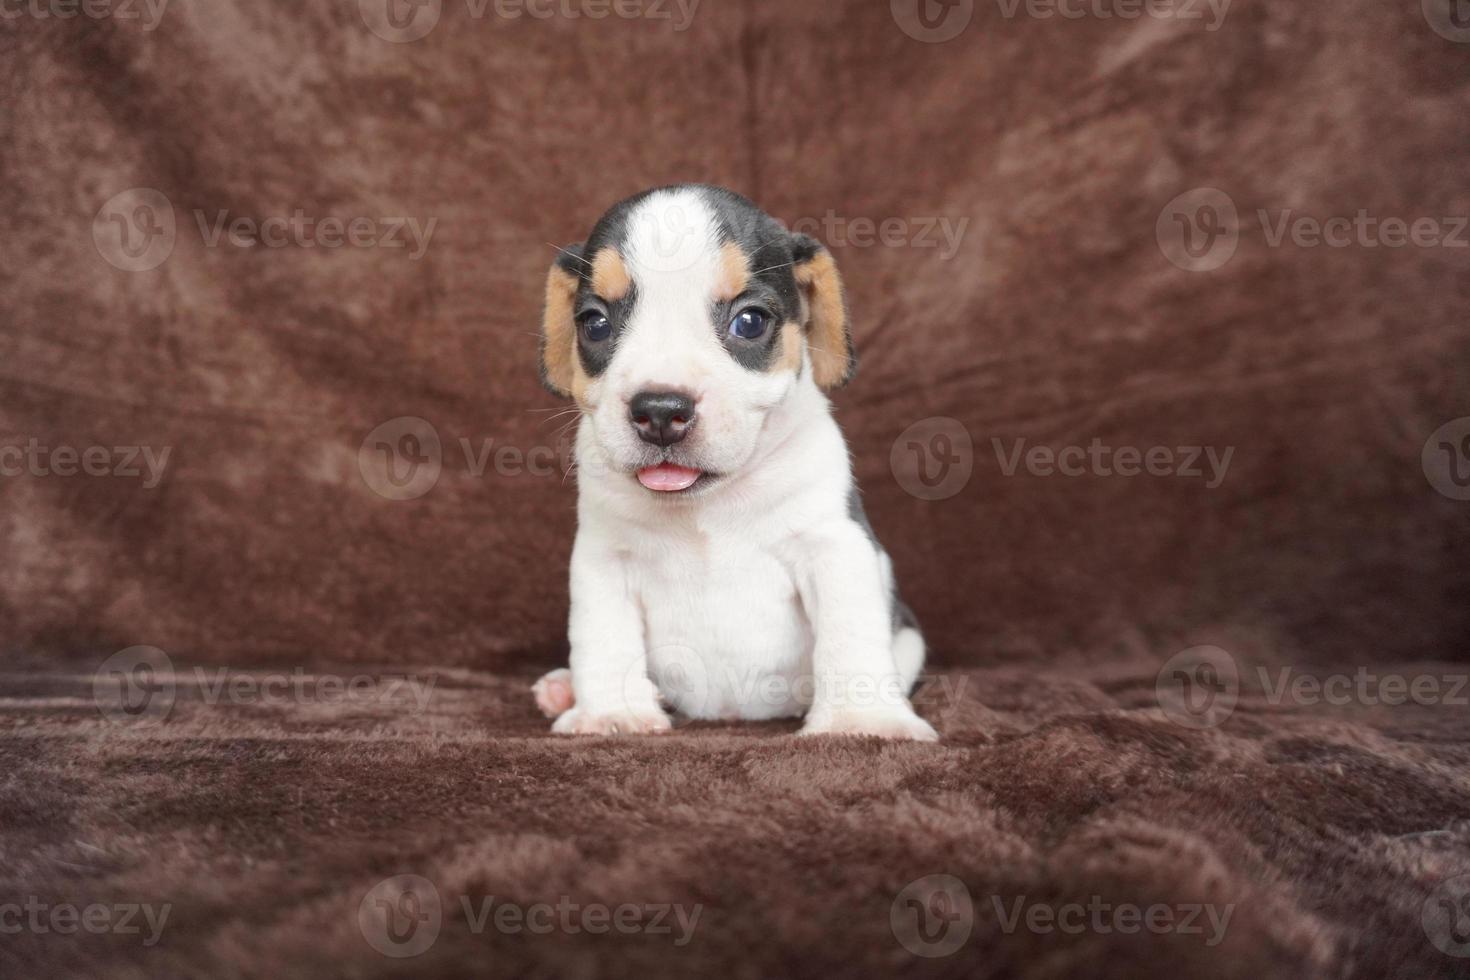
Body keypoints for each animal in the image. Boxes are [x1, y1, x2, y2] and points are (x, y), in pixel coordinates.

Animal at [535, 183, 934, 740]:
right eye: (594, 323)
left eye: (750, 322)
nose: (661, 410)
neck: (707, 505)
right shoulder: (603, 561)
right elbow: (603, 638)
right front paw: (612, 713)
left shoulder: (835, 547)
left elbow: (850, 634)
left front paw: (862, 719)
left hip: (909, 638)